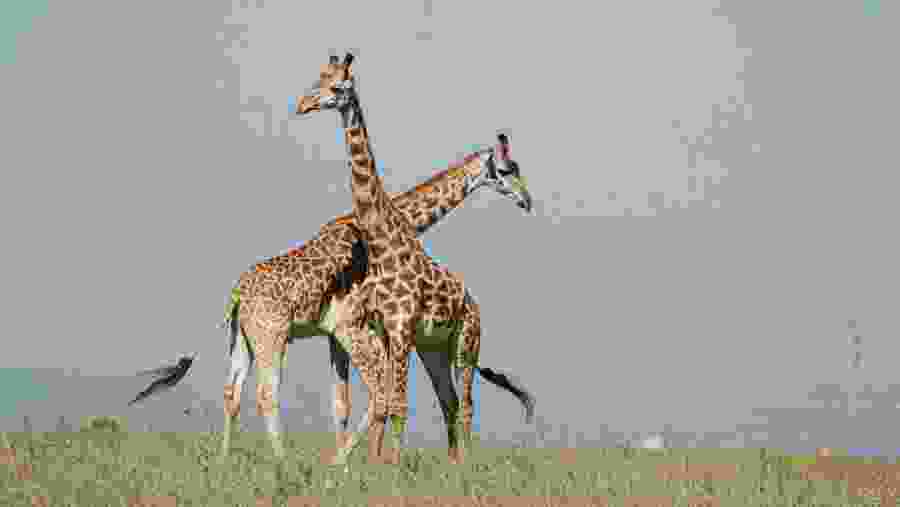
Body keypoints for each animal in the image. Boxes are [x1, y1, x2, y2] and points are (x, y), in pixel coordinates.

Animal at [221, 133, 533, 460]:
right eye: (506, 170)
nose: (527, 201)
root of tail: (237, 294)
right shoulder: (362, 327)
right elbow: (377, 396)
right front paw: (358, 460)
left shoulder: (343, 333)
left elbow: (343, 403)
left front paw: (354, 459)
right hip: (272, 335)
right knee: (267, 393)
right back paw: (282, 460)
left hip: (241, 337)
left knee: (232, 392)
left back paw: (224, 459)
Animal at [295, 52, 528, 464]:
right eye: (318, 80)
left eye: (335, 86)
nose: (302, 104)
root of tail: (475, 304)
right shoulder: (382, 329)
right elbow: (385, 402)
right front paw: (375, 466)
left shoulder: (391, 329)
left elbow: (389, 403)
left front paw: (382, 466)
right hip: (419, 345)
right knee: (441, 401)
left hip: (460, 343)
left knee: (460, 403)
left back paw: (460, 465)